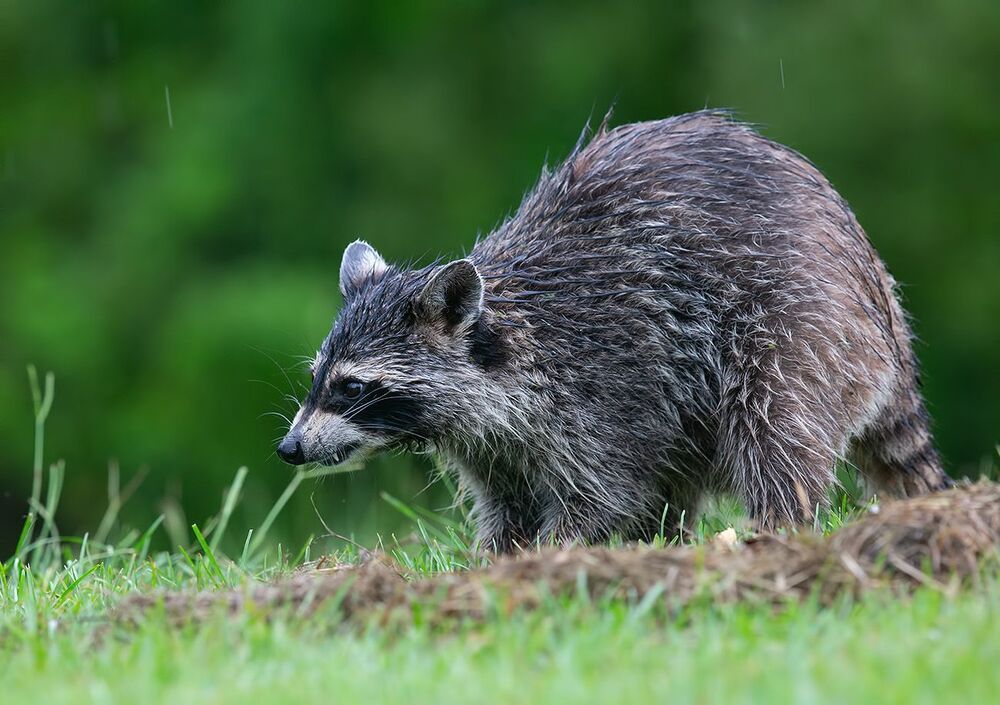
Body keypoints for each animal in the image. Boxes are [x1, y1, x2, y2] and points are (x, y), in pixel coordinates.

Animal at [277, 110, 951, 551]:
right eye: (317, 378)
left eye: (351, 387)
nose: (289, 449)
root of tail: (876, 290)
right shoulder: (494, 445)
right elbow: (508, 506)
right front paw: (498, 562)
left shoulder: (607, 385)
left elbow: (605, 492)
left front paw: (555, 556)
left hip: (795, 323)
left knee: (774, 427)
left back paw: (774, 533)